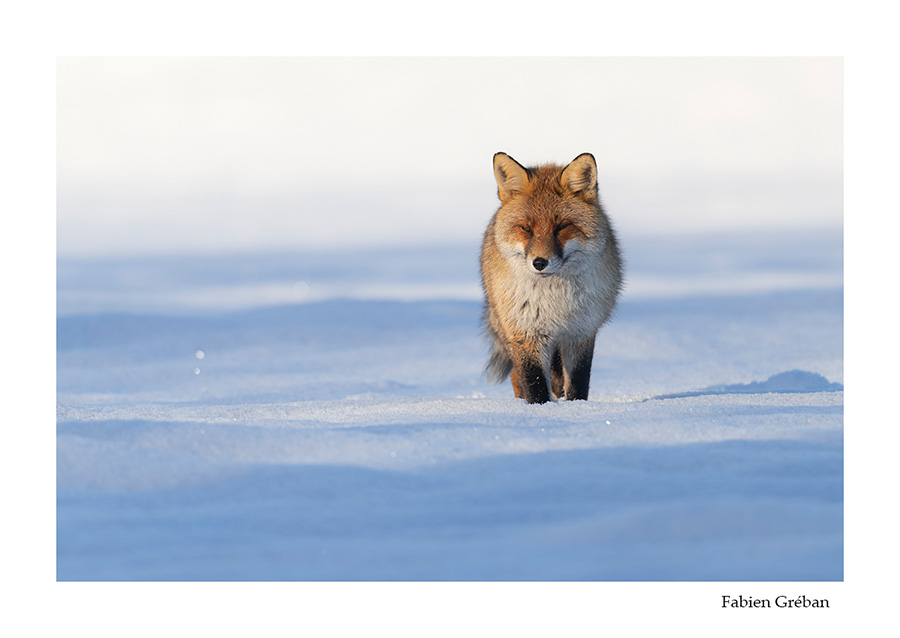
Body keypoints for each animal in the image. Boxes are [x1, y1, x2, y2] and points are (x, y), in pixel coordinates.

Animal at [480, 152, 623, 404]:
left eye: (562, 227)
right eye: (526, 229)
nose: (539, 262)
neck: (555, 302)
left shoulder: (581, 332)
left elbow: (577, 382)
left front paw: (578, 407)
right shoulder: (525, 332)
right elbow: (534, 382)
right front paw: (541, 409)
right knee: (516, 375)